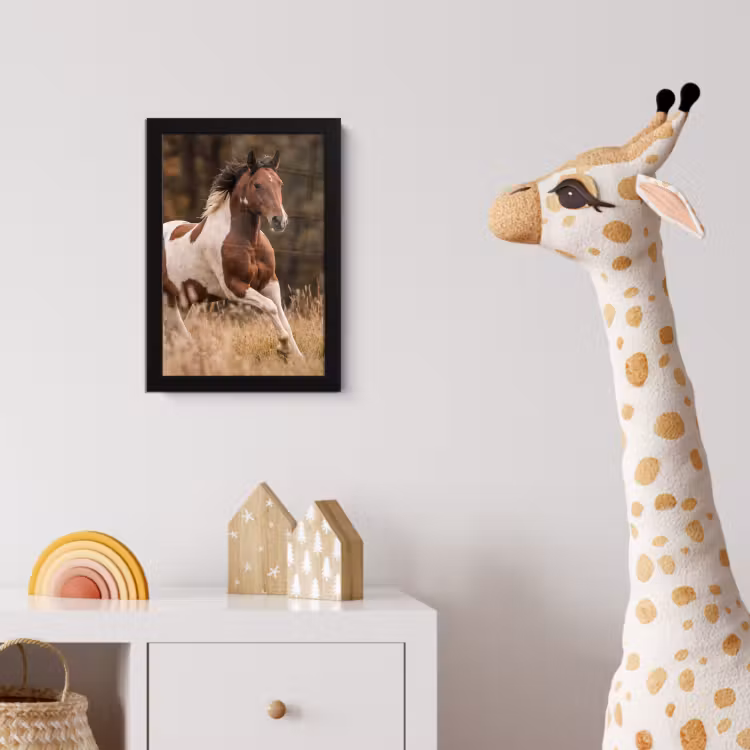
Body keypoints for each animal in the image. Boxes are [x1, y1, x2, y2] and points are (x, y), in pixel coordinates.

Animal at [162, 150, 303, 358]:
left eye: (280, 183)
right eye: (257, 184)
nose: (279, 220)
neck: (249, 243)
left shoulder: (270, 283)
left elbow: (283, 318)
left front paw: (298, 357)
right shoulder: (235, 287)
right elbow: (270, 307)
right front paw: (283, 348)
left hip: (181, 301)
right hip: (169, 300)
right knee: (178, 331)